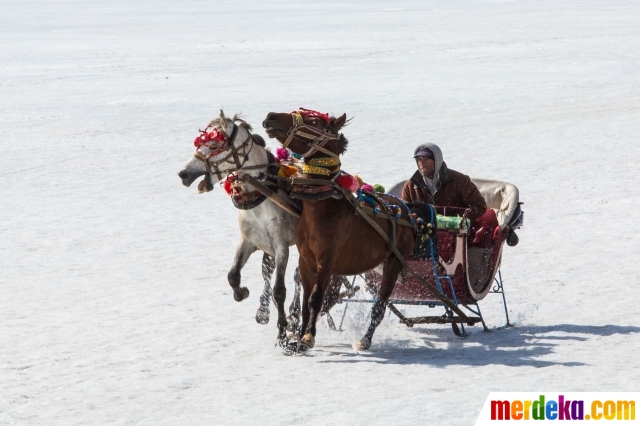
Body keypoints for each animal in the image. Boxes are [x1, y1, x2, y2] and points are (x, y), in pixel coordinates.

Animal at [262, 109, 418, 350]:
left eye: (314, 121)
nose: (271, 116)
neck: (322, 207)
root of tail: (406, 211)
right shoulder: (306, 260)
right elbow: (306, 302)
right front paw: (298, 337)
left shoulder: (327, 261)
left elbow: (315, 299)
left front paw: (308, 337)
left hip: (394, 262)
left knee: (379, 306)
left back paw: (365, 340)